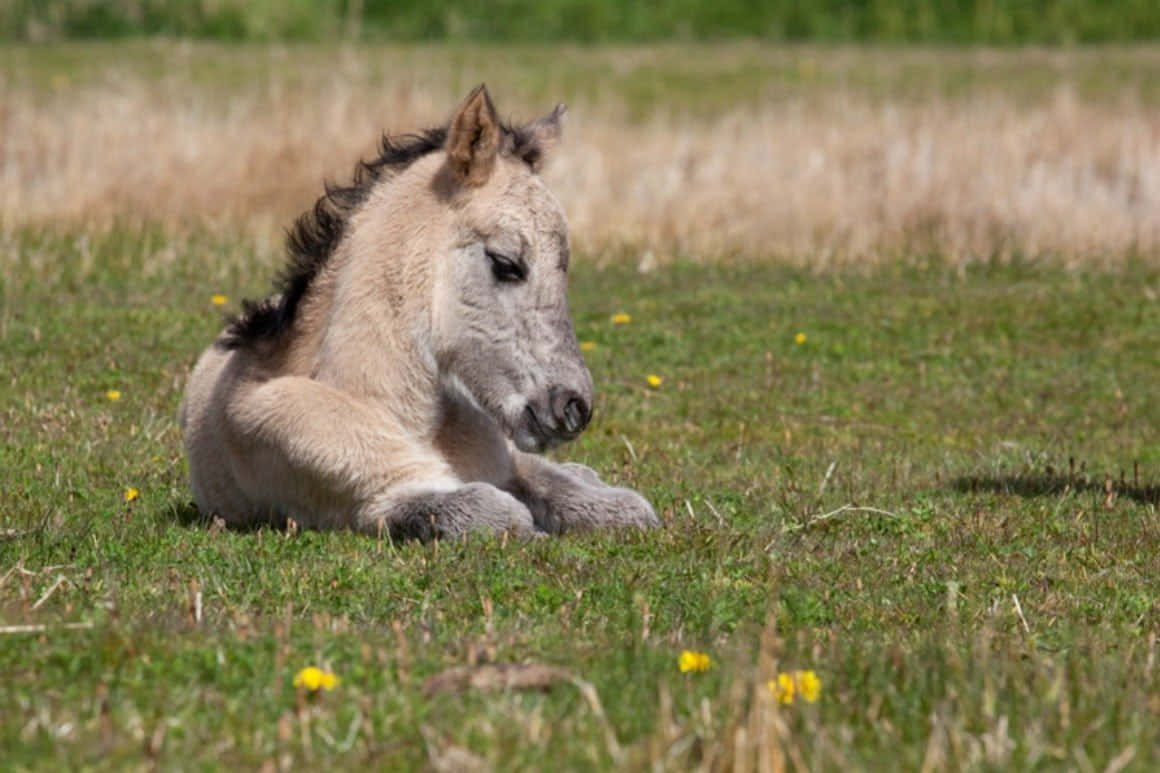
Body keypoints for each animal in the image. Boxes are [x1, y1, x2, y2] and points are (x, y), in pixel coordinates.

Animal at [179, 85, 659, 540]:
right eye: (506, 263)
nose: (573, 407)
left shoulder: (507, 464)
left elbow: (616, 507)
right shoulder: (386, 498)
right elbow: (500, 513)